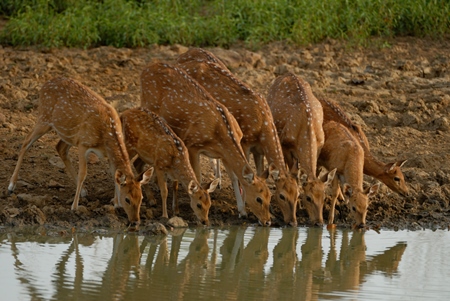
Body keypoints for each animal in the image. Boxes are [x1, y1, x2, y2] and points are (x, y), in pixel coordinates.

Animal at [7, 78, 153, 230]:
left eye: (141, 198)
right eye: (127, 199)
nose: (135, 221)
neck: (106, 134)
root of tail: (45, 85)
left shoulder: (106, 153)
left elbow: (114, 175)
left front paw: (116, 204)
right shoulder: (84, 143)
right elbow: (84, 173)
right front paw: (74, 207)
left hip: (68, 133)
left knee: (59, 147)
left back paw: (83, 191)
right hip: (44, 117)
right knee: (26, 142)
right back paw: (11, 186)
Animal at [142, 62, 270, 225]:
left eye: (270, 196)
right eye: (259, 199)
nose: (268, 222)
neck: (220, 135)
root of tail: (147, 68)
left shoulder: (223, 154)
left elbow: (234, 177)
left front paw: (242, 212)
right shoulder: (192, 145)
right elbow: (198, 177)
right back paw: (150, 198)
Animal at [178, 47, 300, 225]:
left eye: (298, 194)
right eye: (282, 196)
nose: (293, 222)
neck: (262, 126)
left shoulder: (258, 149)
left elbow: (259, 172)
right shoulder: (244, 142)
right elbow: (240, 175)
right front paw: (243, 210)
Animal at [266, 72, 336, 225]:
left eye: (324, 197)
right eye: (308, 197)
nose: (319, 222)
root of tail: (287, 73)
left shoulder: (320, 145)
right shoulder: (285, 144)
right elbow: (293, 174)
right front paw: (297, 209)